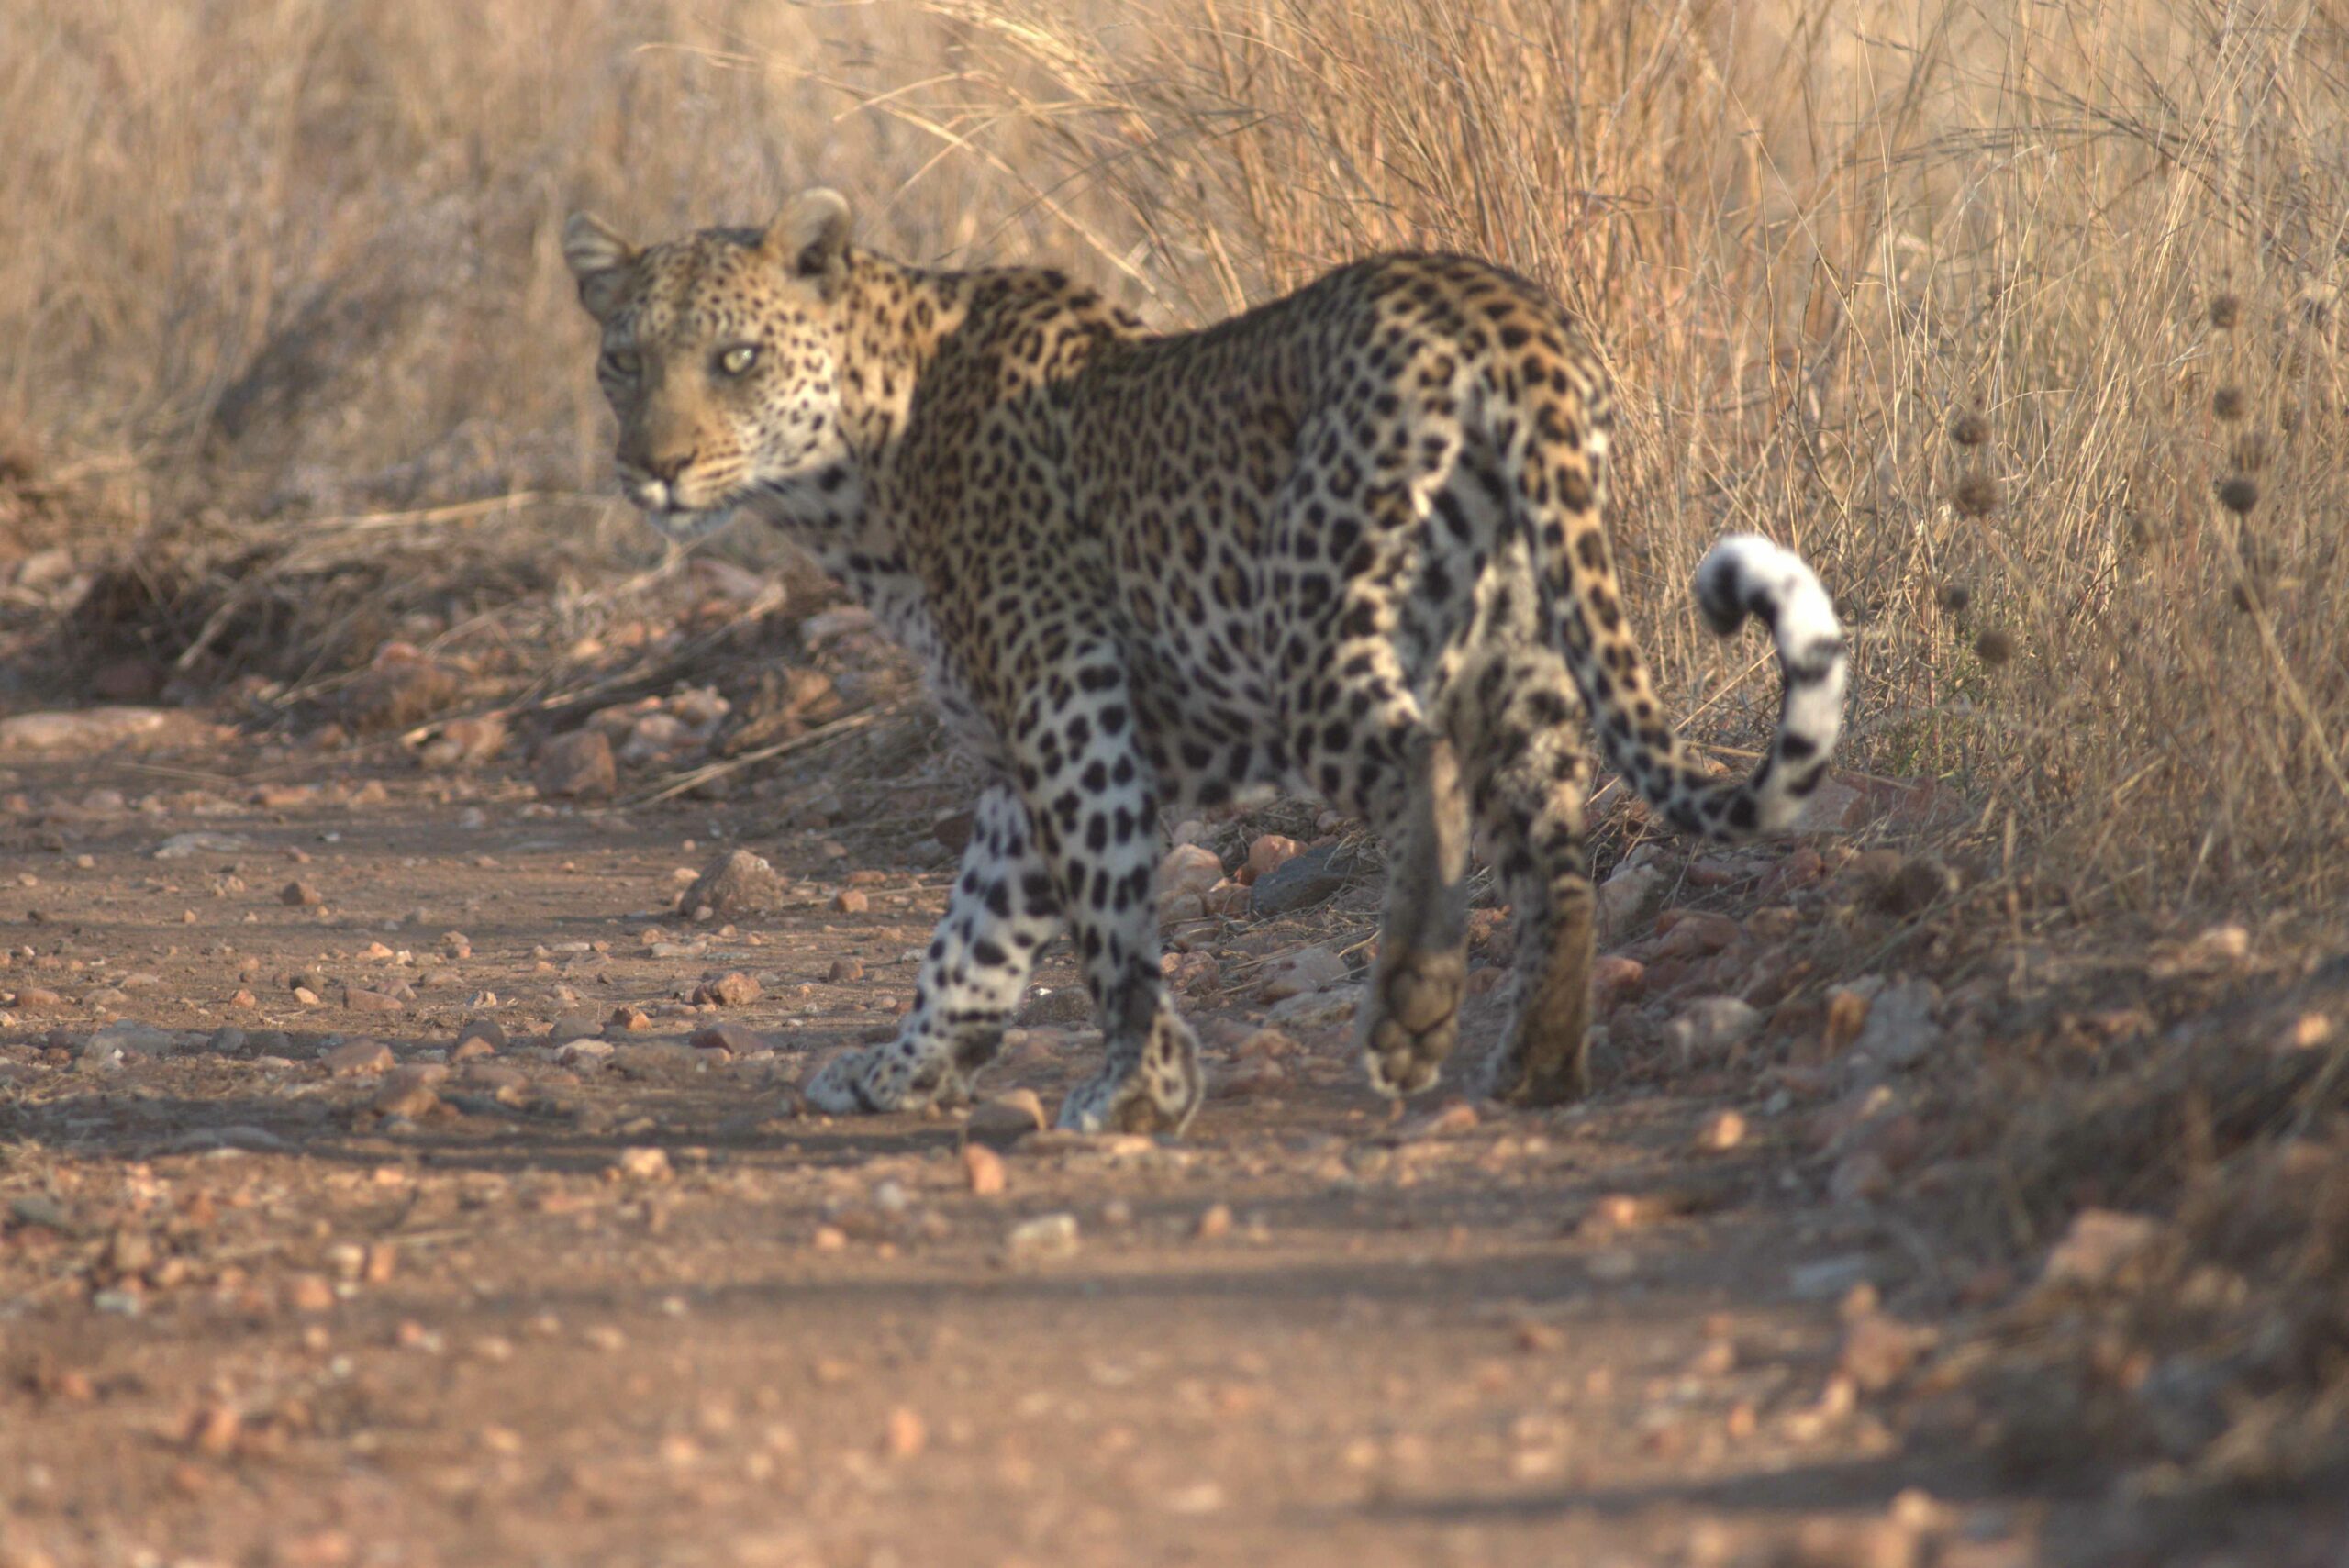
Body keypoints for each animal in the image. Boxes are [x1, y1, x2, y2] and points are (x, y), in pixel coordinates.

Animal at [562, 189, 1847, 1135]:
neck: (860, 474)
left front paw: (1138, 1086)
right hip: (1523, 639)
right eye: (621, 362)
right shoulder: (1024, 753)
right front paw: (902, 1069)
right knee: (1553, 857)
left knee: (1425, 771)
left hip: (1314, 629)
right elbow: (973, 934)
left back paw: (1412, 1009)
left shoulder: (1066, 699)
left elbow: (1102, 914)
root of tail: (1500, 310)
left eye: (735, 358)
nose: (652, 467)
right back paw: (1534, 1066)